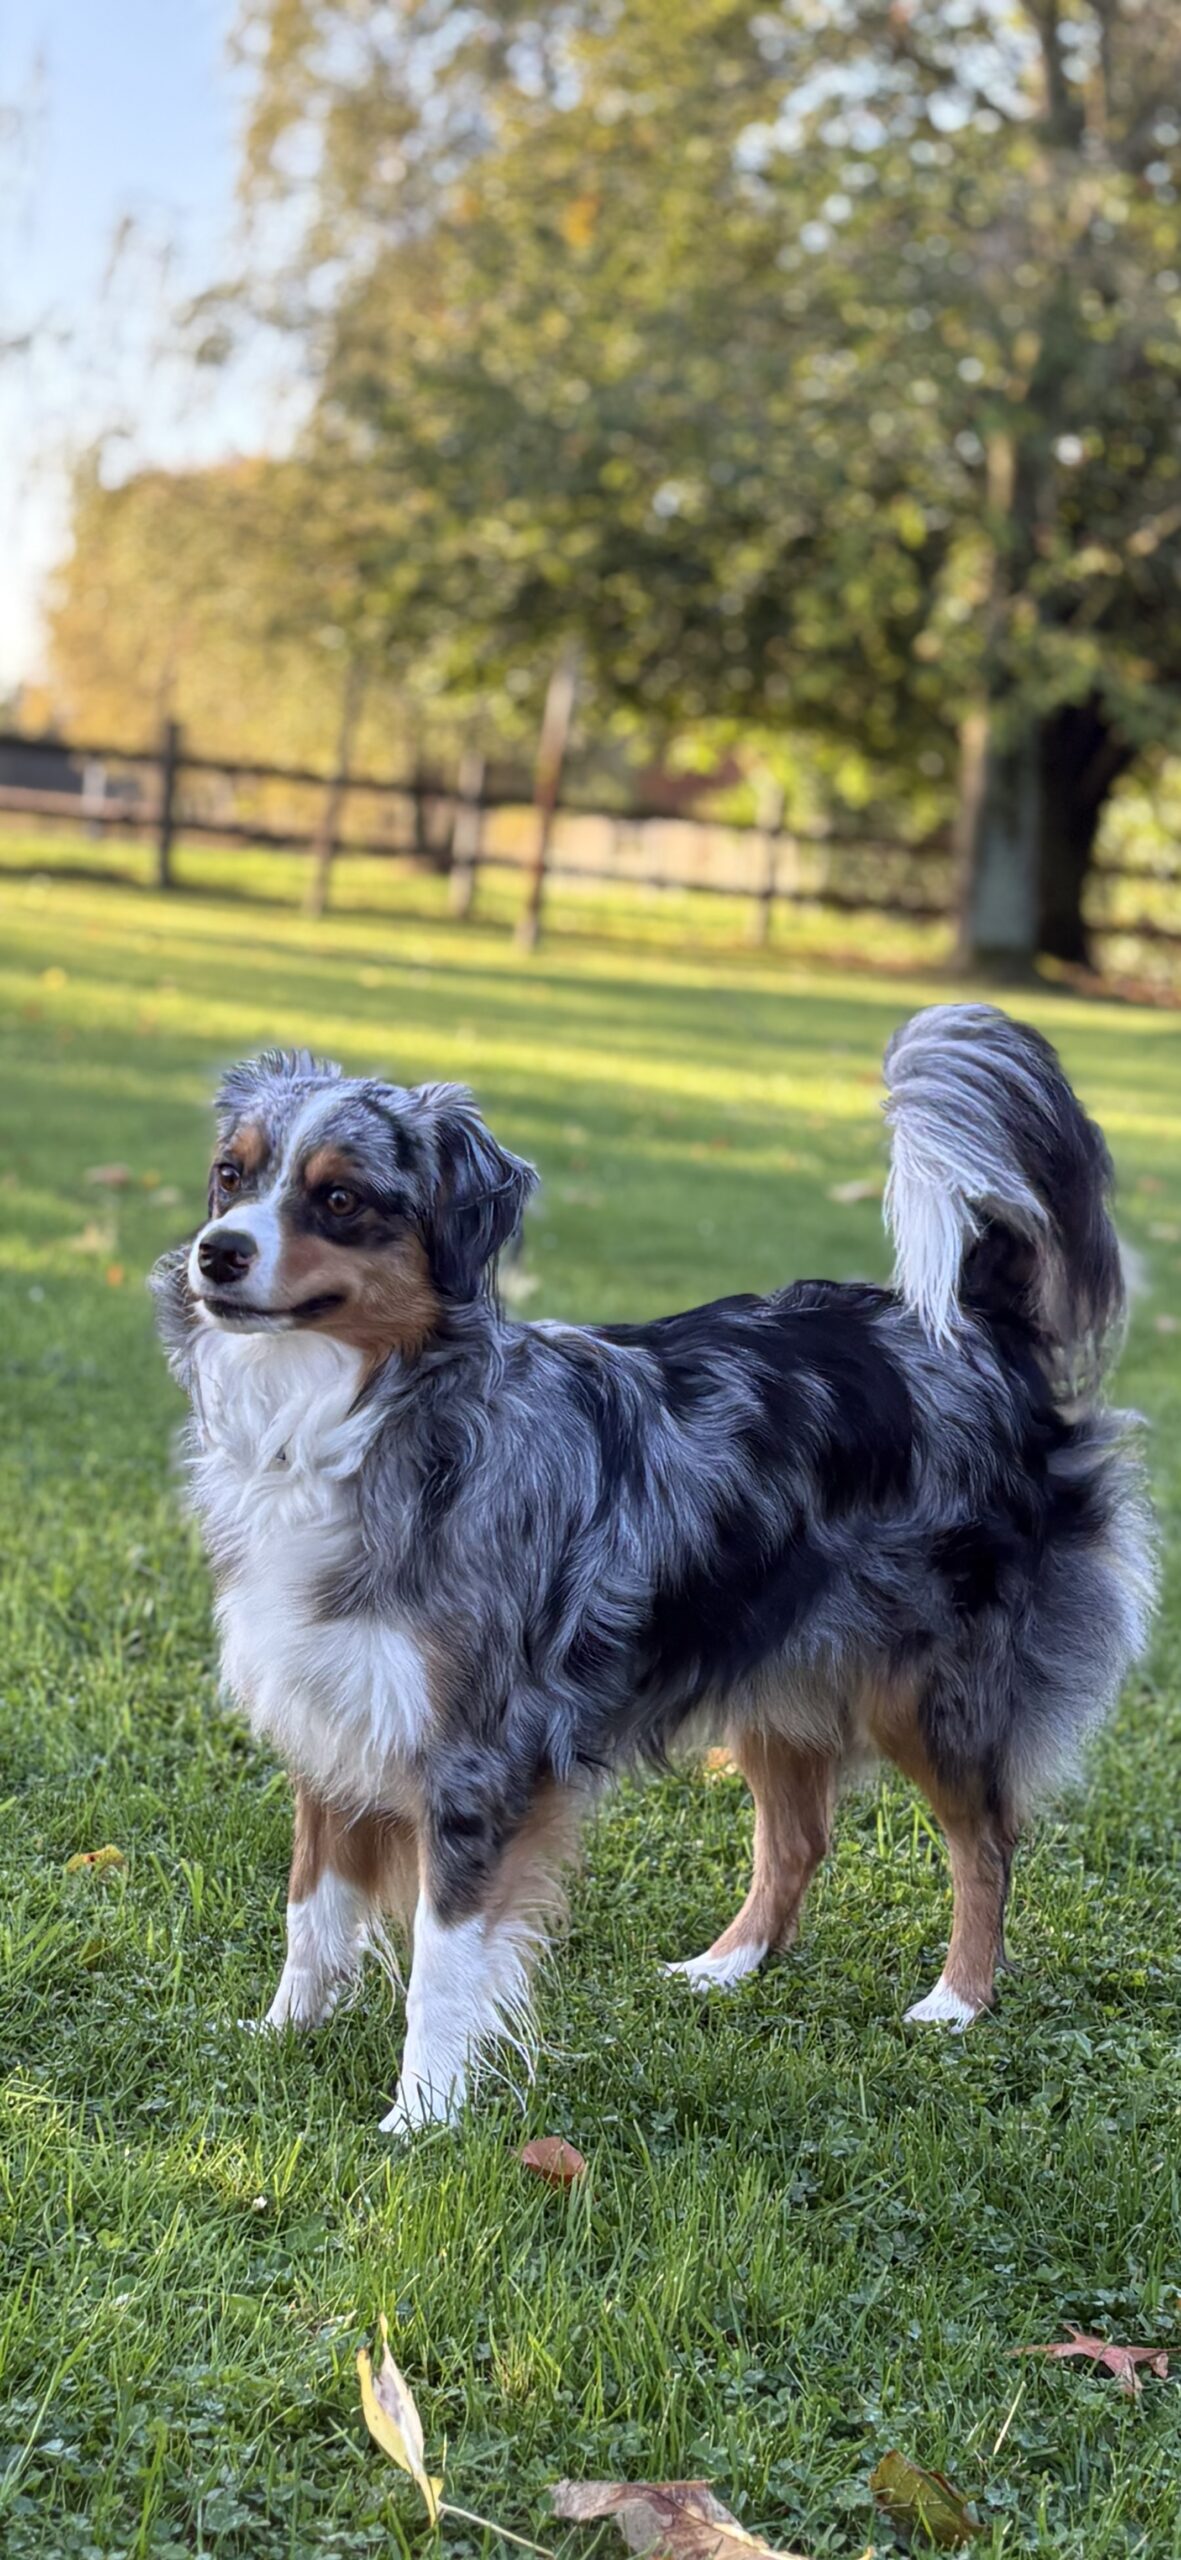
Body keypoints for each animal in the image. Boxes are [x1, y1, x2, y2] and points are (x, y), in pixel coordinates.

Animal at [152, 1004, 1154, 2133]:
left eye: (338, 1198)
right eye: (230, 1176)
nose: (216, 1254)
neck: (363, 1415)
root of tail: (974, 1324)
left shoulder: (475, 1759)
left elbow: (442, 1964)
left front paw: (422, 2114)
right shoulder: (330, 1712)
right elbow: (310, 1912)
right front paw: (282, 2034)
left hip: (933, 1689)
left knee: (984, 1841)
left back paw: (957, 1999)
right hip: (774, 1669)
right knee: (797, 1840)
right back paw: (727, 1965)